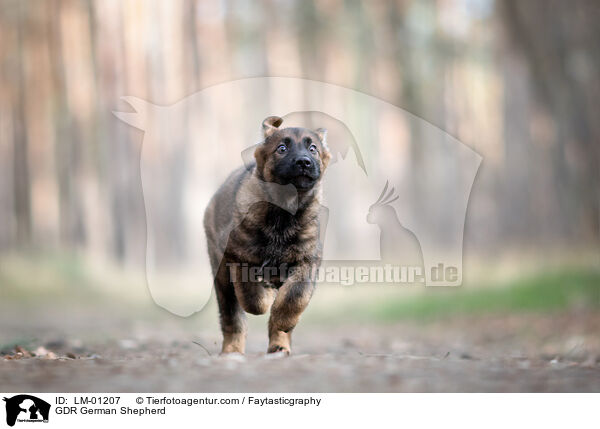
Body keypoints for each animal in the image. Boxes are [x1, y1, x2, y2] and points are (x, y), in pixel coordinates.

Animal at [204, 115, 330, 352]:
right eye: (282, 148)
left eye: (313, 149)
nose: (304, 162)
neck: (284, 211)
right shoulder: (238, 256)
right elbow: (252, 298)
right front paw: (265, 297)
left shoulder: (307, 261)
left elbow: (295, 297)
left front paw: (283, 319)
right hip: (222, 276)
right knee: (232, 317)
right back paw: (232, 350)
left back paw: (279, 346)